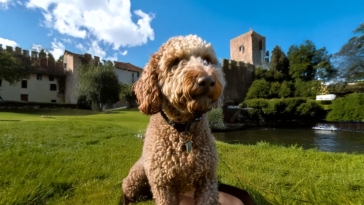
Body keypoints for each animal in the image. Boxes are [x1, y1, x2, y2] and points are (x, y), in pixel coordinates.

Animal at [122, 35, 225, 205]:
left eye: (207, 59)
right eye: (175, 61)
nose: (207, 79)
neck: (182, 128)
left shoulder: (207, 180)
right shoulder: (163, 184)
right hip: (135, 177)